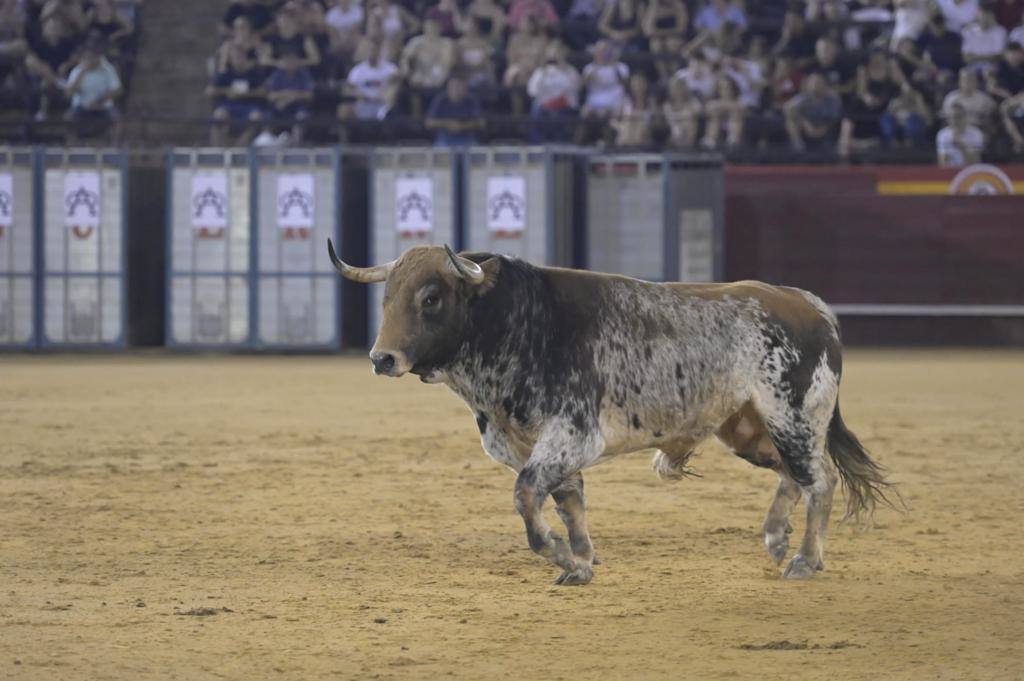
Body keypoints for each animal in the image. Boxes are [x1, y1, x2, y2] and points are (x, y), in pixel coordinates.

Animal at [327, 240, 897, 585]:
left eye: (430, 297)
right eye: (388, 297)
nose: (382, 358)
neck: (518, 324)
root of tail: (809, 304)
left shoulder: (570, 436)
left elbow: (527, 495)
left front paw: (558, 554)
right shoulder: (540, 446)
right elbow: (567, 502)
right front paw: (580, 562)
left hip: (793, 418)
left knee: (819, 479)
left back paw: (805, 559)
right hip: (747, 428)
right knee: (791, 475)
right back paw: (777, 539)